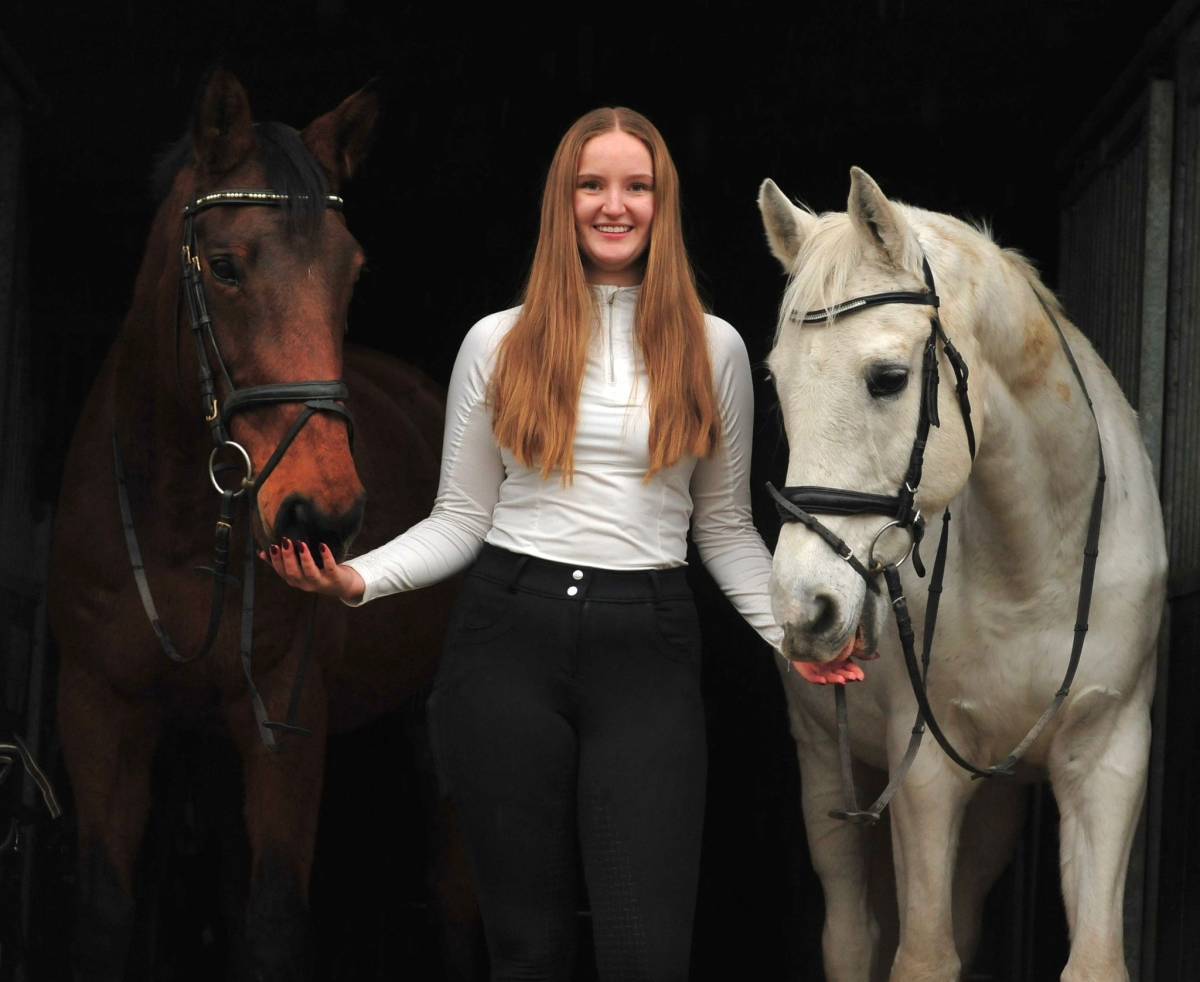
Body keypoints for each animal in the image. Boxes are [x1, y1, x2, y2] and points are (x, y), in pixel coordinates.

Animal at [44, 70, 463, 979]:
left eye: (351, 273)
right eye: (227, 266)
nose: (324, 513)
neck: (177, 526)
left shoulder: (283, 725)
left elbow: (271, 920)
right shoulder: (99, 714)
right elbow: (106, 912)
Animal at [758, 168, 1161, 979]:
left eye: (887, 378)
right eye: (779, 384)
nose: (804, 608)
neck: (1038, 567)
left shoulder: (1109, 759)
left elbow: (1093, 960)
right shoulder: (924, 778)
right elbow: (921, 955)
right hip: (827, 767)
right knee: (852, 935)